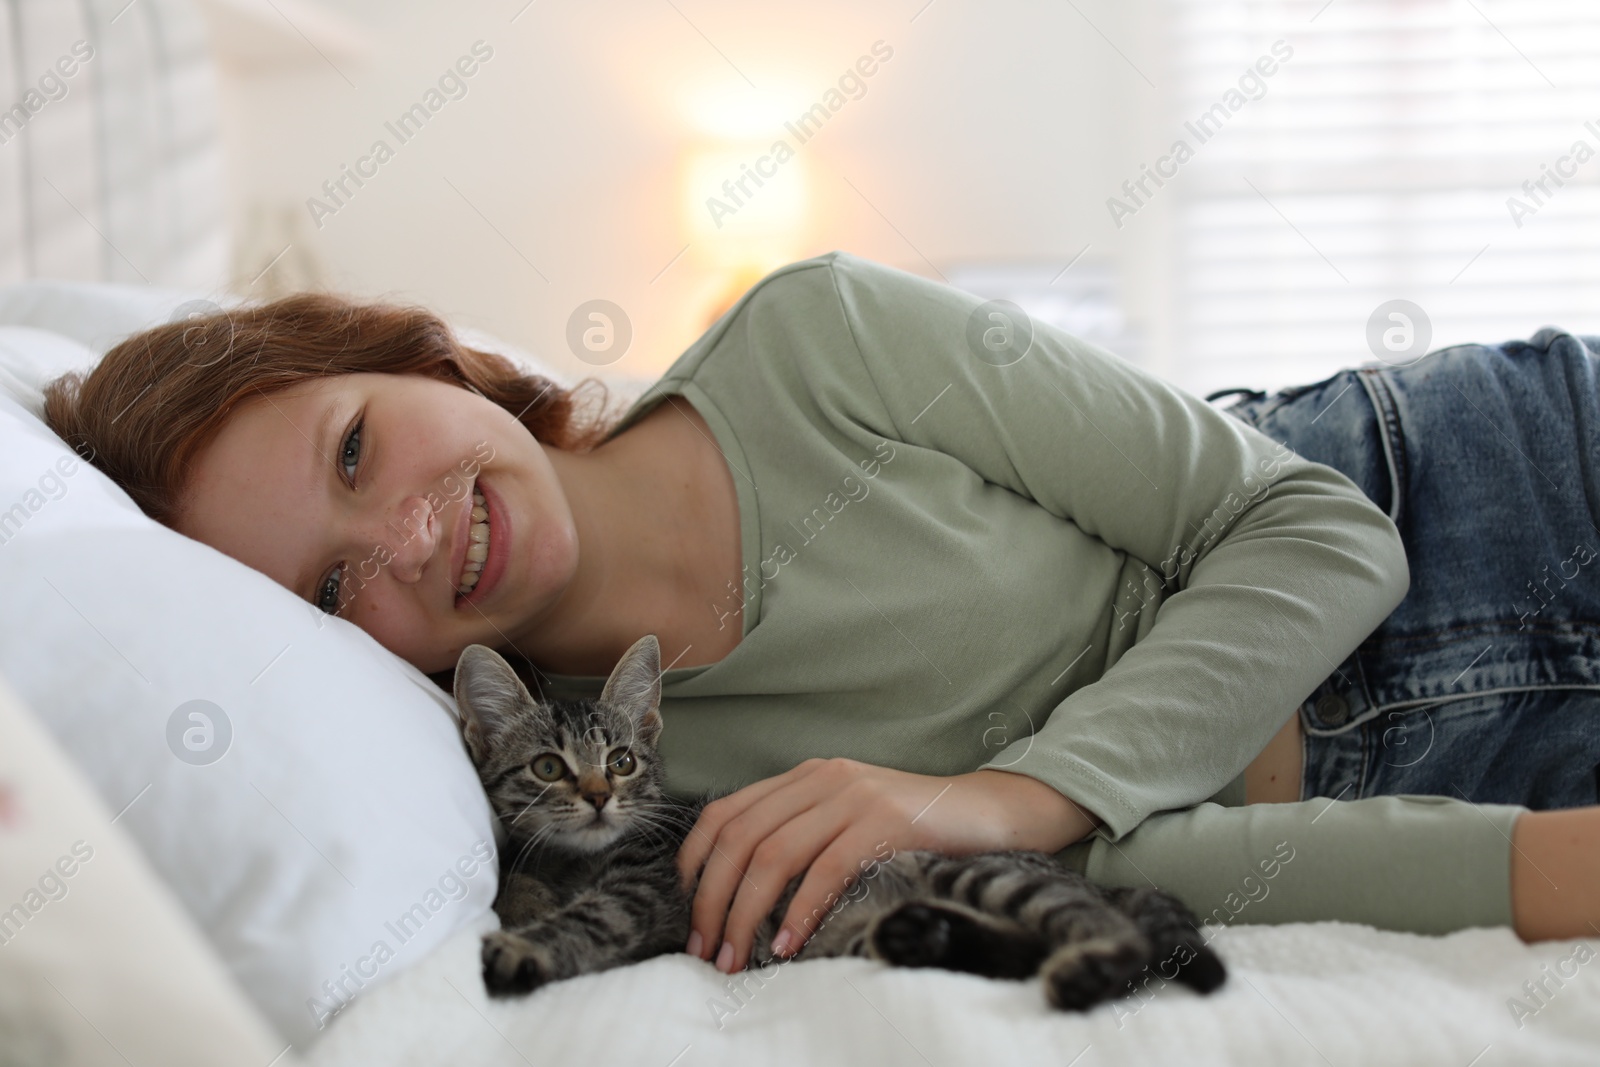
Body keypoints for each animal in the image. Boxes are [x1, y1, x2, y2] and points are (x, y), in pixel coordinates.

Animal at [451, 639, 1222, 1017]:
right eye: (548, 766)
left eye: (621, 760)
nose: (597, 795)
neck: (574, 863)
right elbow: (520, 888)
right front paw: (521, 904)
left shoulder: (646, 887)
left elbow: (593, 918)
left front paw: (522, 948)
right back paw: (924, 935)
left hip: (977, 869)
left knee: (1114, 940)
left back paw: (1087, 969)